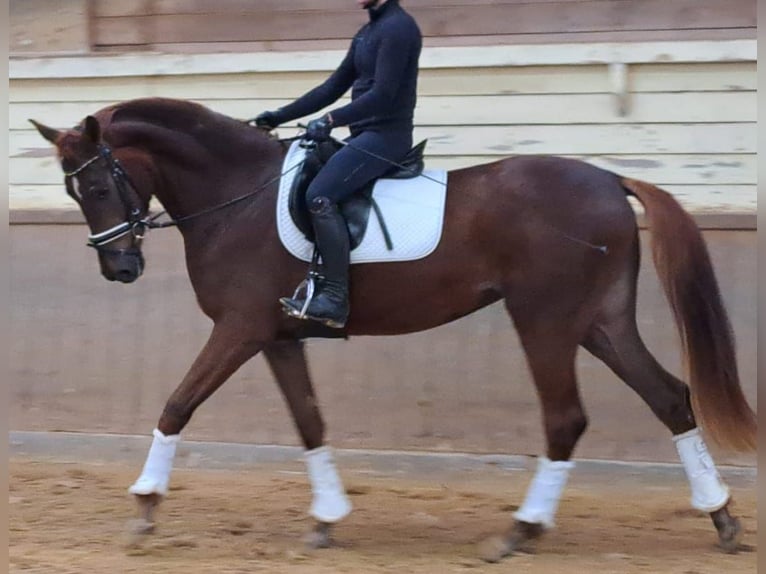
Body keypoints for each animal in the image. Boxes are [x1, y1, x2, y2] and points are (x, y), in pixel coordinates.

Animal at [31, 99, 756, 564]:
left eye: (99, 184)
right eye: (73, 193)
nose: (120, 269)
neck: (236, 193)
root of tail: (609, 177)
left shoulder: (238, 328)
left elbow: (177, 404)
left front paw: (144, 507)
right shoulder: (278, 335)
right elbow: (310, 421)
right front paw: (326, 520)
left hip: (545, 321)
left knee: (566, 419)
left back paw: (520, 532)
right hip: (599, 323)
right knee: (669, 397)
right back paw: (720, 518)